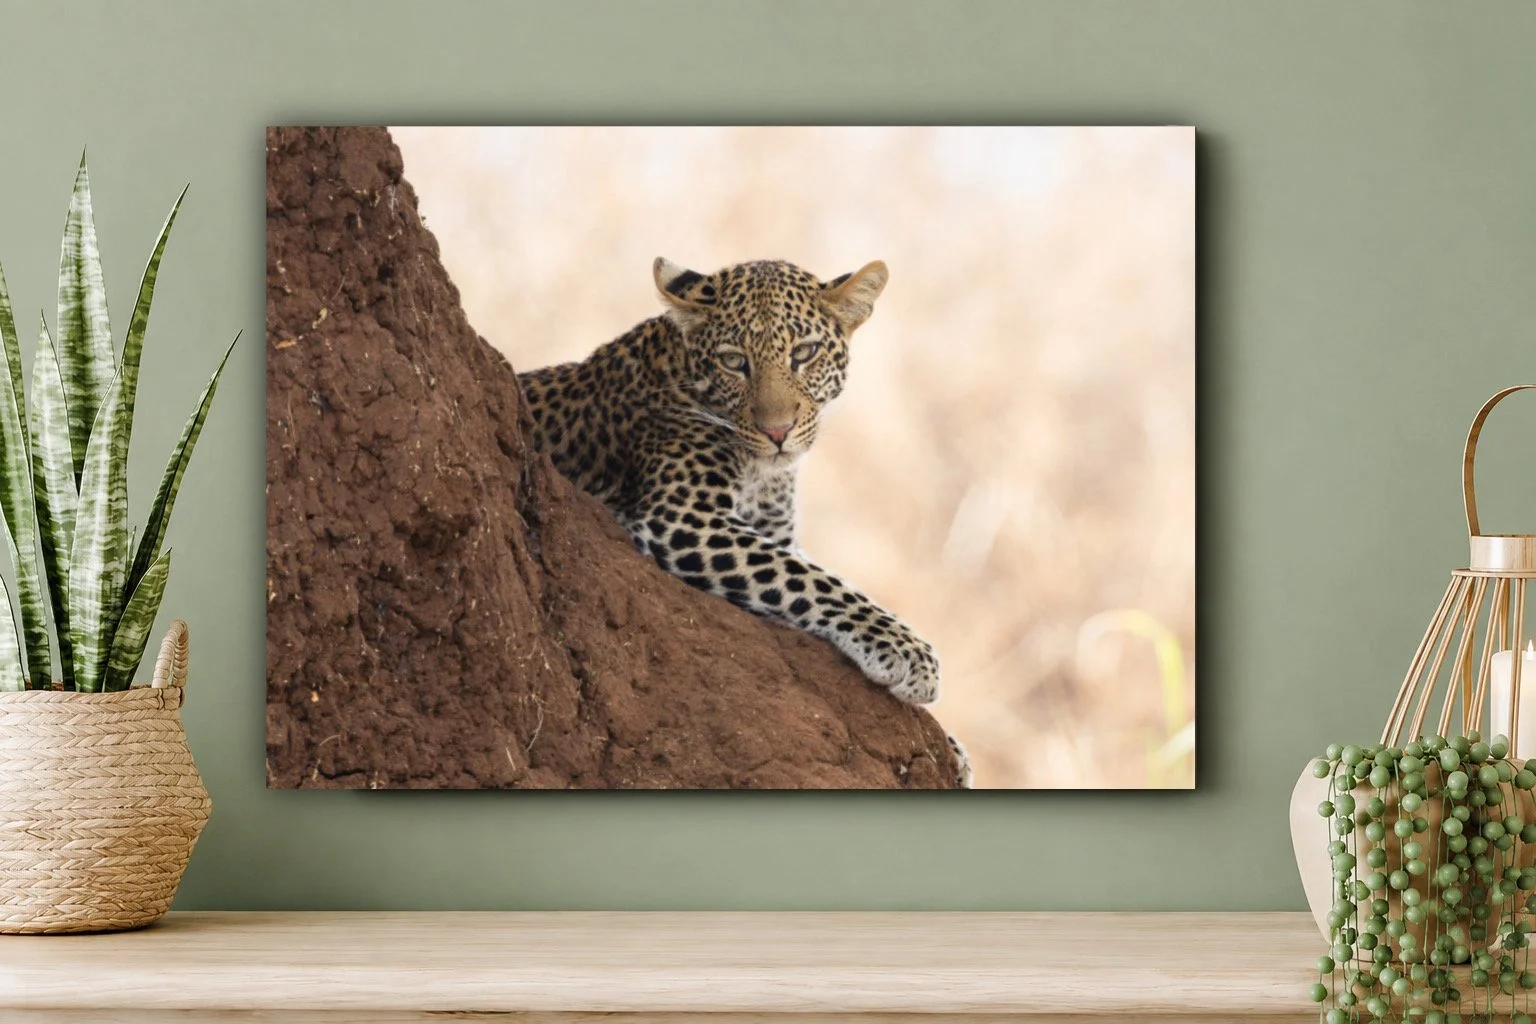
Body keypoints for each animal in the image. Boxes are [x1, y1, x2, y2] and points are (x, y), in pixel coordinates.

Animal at [517, 258, 971, 788]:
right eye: (735, 362)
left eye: (804, 353)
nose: (777, 432)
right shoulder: (683, 516)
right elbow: (815, 582)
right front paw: (908, 652)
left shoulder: (770, 530)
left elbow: (807, 580)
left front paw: (949, 747)